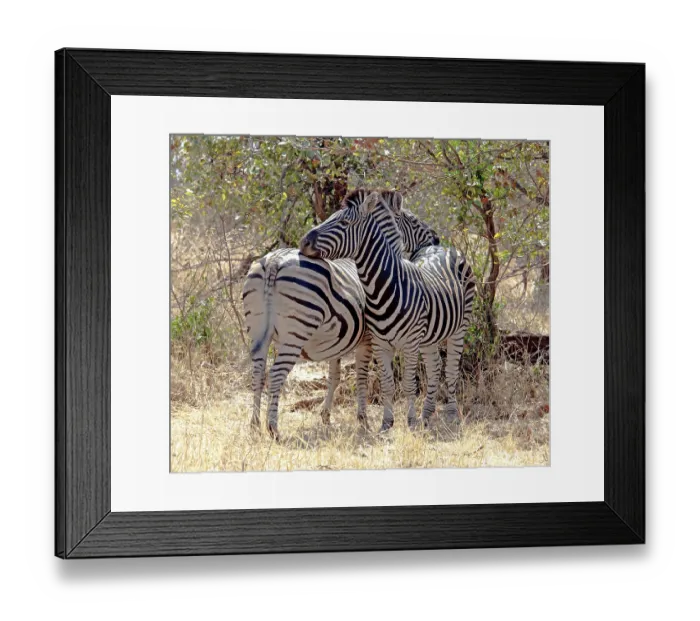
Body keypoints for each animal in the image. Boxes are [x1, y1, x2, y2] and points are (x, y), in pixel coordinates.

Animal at [242, 191, 440, 439]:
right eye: (413, 220)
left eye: (341, 220)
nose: (437, 239)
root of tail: (274, 261)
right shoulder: (368, 341)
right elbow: (361, 377)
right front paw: (363, 421)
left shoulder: (336, 342)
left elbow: (334, 377)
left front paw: (326, 416)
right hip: (295, 333)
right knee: (276, 374)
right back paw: (273, 428)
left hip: (258, 332)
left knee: (258, 373)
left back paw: (254, 425)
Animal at [299, 189, 476, 432]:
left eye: (344, 222)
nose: (303, 242)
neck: (383, 287)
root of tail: (440, 248)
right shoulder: (380, 345)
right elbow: (387, 385)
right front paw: (387, 423)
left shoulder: (410, 344)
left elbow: (409, 385)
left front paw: (410, 422)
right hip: (430, 336)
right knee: (434, 367)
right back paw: (426, 415)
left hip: (460, 328)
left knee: (450, 370)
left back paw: (450, 415)